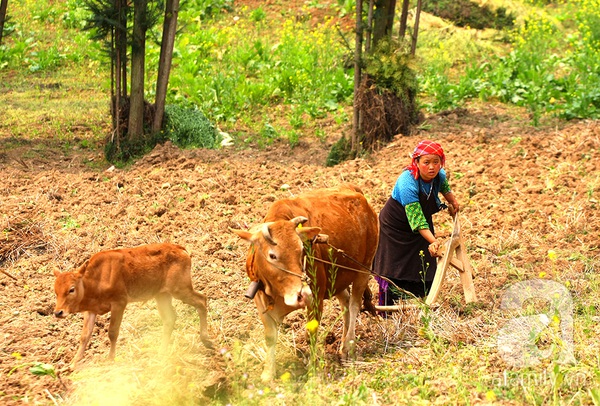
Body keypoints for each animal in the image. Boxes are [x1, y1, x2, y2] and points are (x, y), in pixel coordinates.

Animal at [53, 243, 213, 370]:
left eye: (71, 289)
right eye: (56, 290)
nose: (58, 312)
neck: (95, 280)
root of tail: (180, 248)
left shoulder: (119, 303)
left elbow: (112, 333)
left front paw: (110, 359)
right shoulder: (90, 310)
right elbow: (84, 336)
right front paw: (72, 364)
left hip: (181, 289)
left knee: (202, 300)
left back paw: (206, 340)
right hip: (162, 295)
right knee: (170, 319)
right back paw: (161, 353)